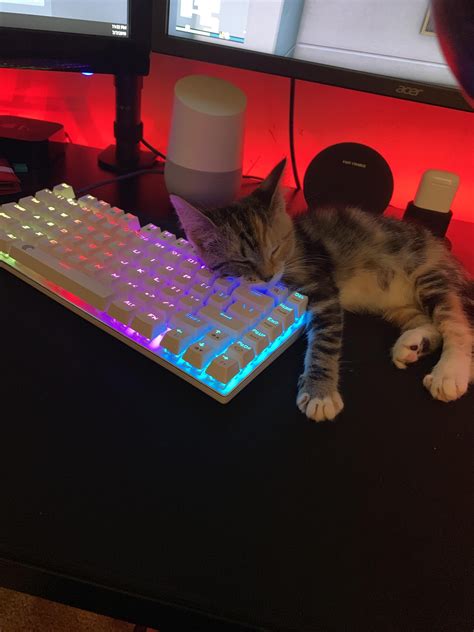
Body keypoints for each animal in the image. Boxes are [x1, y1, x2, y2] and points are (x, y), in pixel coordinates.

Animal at [171, 160, 474, 422]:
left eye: (275, 248)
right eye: (242, 261)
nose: (268, 276)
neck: (296, 249)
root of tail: (442, 248)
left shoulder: (322, 287)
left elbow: (323, 342)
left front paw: (320, 393)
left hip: (429, 274)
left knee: (457, 325)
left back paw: (450, 373)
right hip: (399, 304)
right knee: (430, 323)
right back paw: (412, 344)